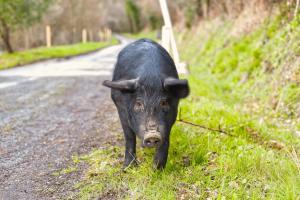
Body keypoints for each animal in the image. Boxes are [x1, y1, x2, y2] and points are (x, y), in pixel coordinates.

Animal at [102, 38, 189, 169]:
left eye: (164, 102)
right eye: (138, 103)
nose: (152, 135)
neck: (150, 76)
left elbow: (165, 139)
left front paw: (157, 169)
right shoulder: (121, 108)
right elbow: (129, 136)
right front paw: (127, 168)